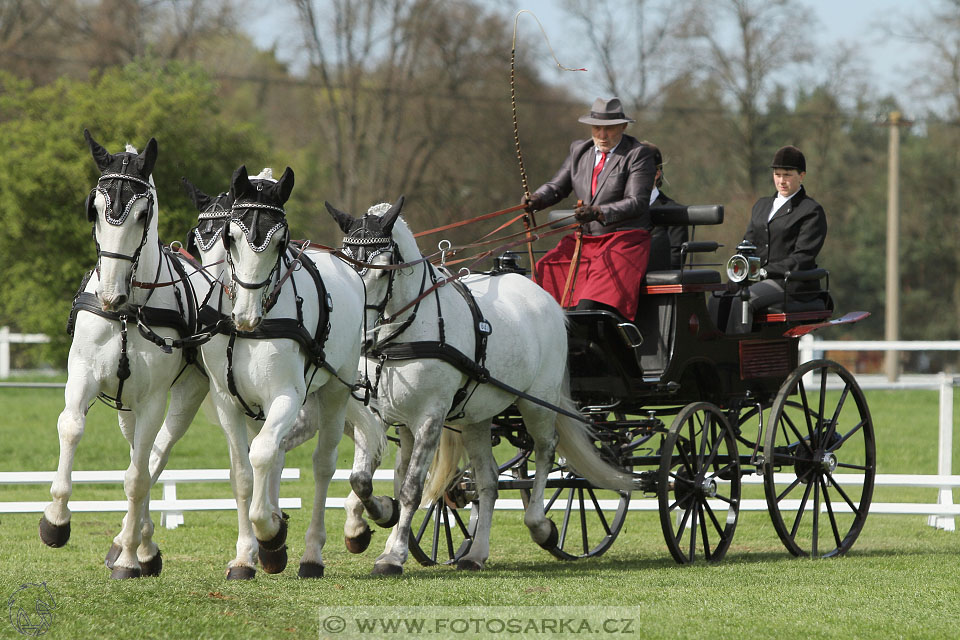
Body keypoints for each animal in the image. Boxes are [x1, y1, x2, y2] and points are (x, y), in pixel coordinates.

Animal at [40, 130, 202, 580]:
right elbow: (71, 428)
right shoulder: (82, 374)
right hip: (125, 405)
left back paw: (139, 546)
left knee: (155, 456)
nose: (110, 296)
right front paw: (55, 521)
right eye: (94, 209)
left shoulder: (153, 400)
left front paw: (130, 557)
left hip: (184, 399)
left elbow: (137, 477)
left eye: (143, 214)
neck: (129, 311)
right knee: (138, 454)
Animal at [326, 196, 632, 576]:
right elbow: (362, 478)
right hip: (476, 419)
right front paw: (367, 524)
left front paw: (393, 553)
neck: (404, 332)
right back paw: (475, 553)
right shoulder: (379, 414)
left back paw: (541, 526)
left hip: (538, 403)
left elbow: (411, 488)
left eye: (384, 270)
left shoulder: (430, 419)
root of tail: (545, 299)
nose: (362, 335)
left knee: (546, 451)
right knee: (488, 481)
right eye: (346, 266)